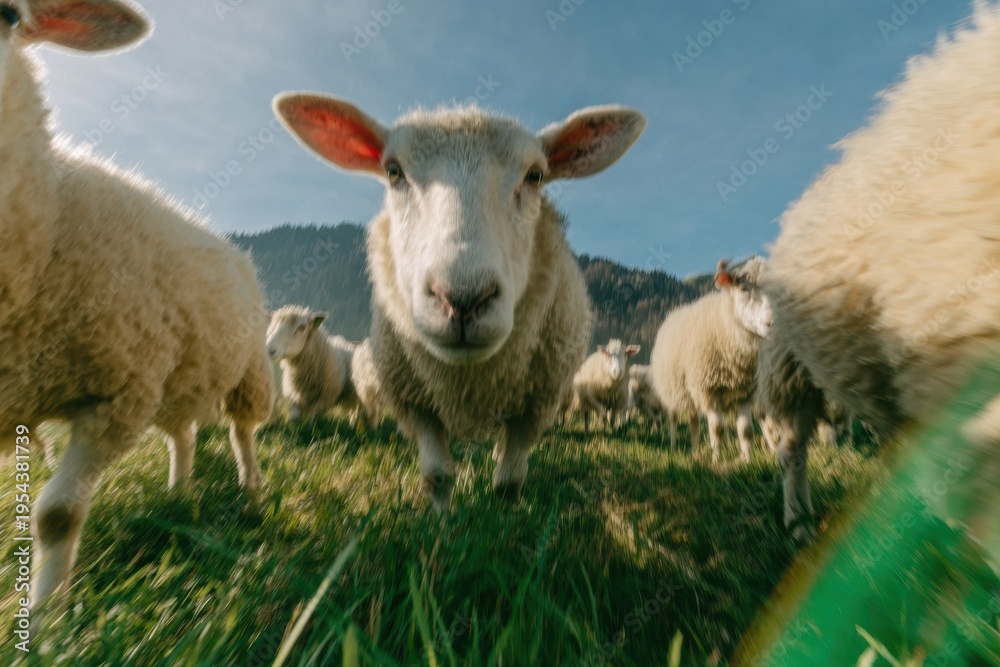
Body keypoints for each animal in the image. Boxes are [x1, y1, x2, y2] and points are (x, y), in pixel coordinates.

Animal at [0, 0, 275, 618]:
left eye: (7, 17)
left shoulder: (114, 398)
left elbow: (58, 516)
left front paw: (47, 618)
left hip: (246, 371)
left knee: (241, 432)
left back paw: (250, 488)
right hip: (177, 372)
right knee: (184, 434)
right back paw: (179, 491)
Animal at [274, 94, 645, 511]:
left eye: (535, 176)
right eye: (393, 171)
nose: (464, 300)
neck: (468, 380)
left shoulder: (535, 404)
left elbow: (510, 480)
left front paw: (503, 516)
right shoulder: (416, 402)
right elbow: (437, 475)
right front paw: (443, 519)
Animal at [649, 257, 772, 462]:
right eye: (743, 289)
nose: (772, 322)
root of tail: (674, 312)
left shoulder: (744, 392)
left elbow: (746, 431)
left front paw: (748, 460)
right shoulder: (707, 389)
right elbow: (717, 429)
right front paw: (717, 460)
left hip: (690, 395)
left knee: (693, 421)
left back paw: (695, 450)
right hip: (673, 392)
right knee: (674, 419)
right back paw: (674, 446)